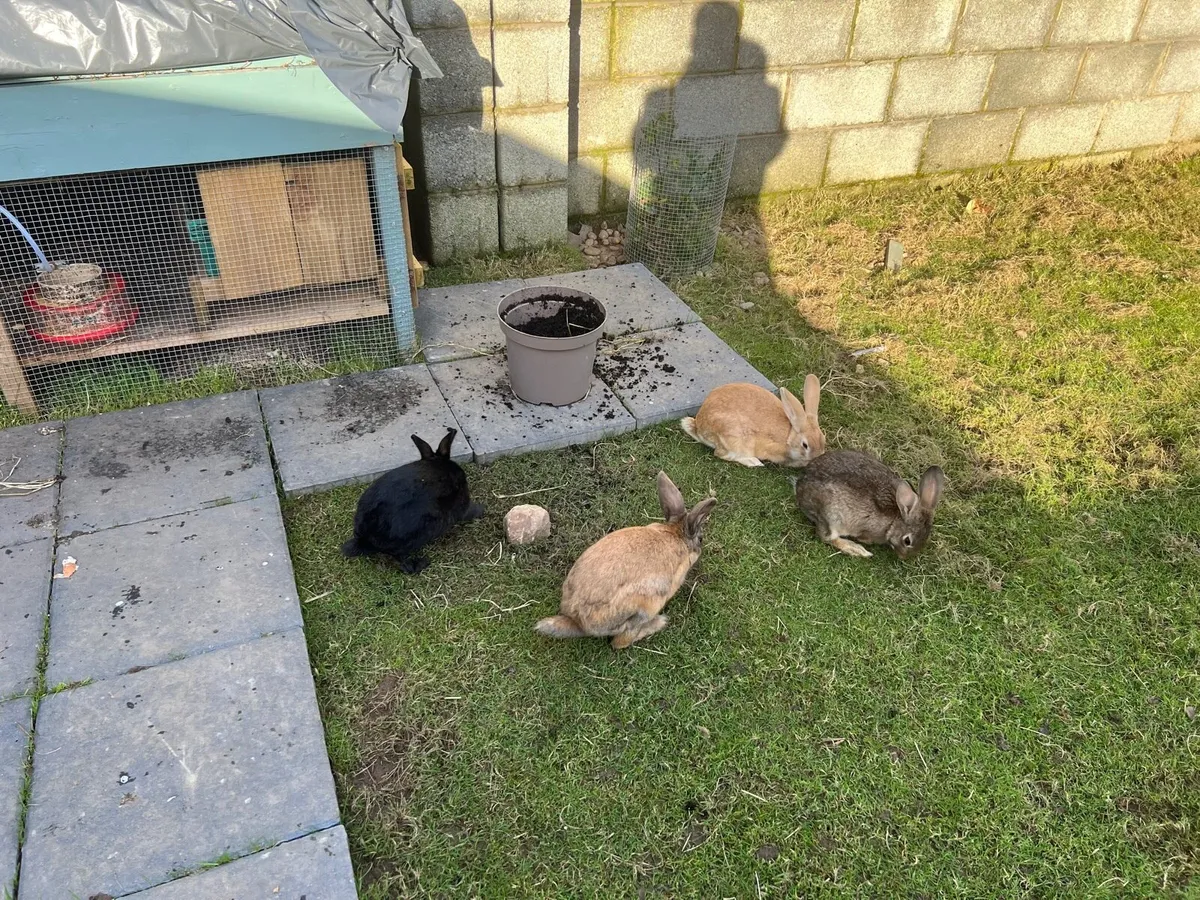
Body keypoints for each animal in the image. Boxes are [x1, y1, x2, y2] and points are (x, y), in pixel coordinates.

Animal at [535, 471, 717, 650]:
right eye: (700, 539)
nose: (701, 547)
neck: (676, 534)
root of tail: (577, 621)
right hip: (645, 607)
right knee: (620, 642)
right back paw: (659, 623)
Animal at [679, 374, 825, 468]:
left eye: (824, 439)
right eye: (805, 445)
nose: (816, 458)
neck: (790, 436)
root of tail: (698, 427)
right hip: (735, 438)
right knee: (722, 454)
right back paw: (754, 462)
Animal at [793, 450, 945, 560]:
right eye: (907, 541)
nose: (903, 557)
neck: (895, 519)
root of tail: (800, 487)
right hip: (832, 516)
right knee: (826, 536)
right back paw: (856, 550)